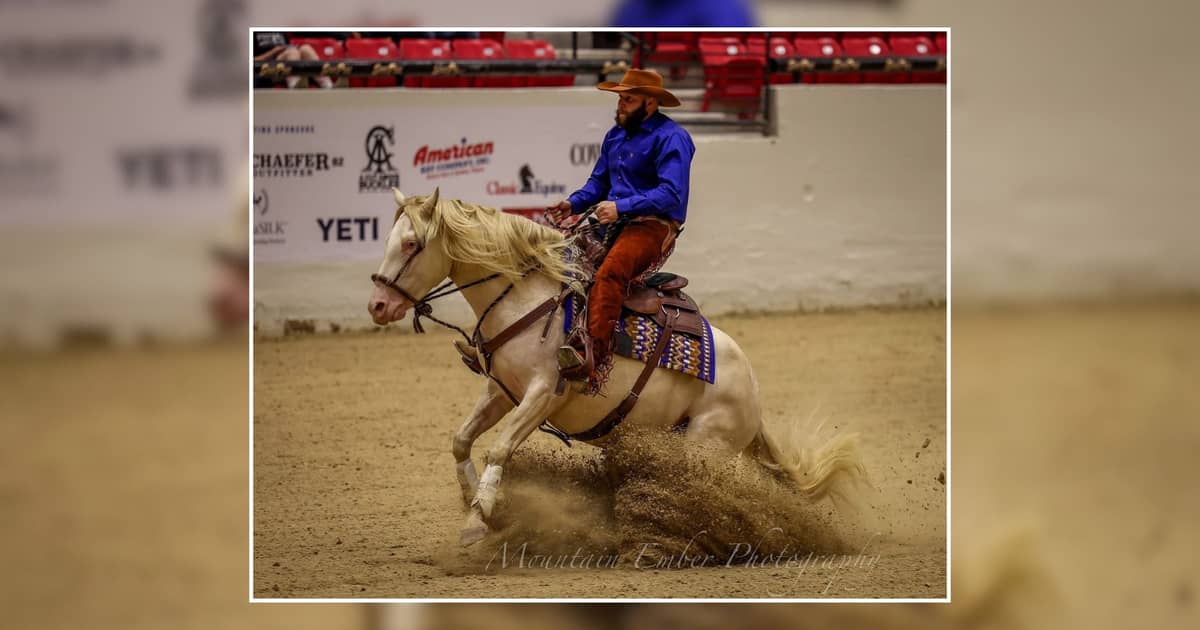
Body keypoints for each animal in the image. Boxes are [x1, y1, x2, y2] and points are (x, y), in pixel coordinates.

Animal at [368, 187, 867, 546]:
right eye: (388, 240)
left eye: (411, 243)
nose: (377, 305)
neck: (525, 298)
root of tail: (753, 390)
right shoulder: (499, 391)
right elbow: (461, 440)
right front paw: (473, 500)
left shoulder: (542, 394)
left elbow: (499, 448)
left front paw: (478, 517)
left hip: (705, 447)